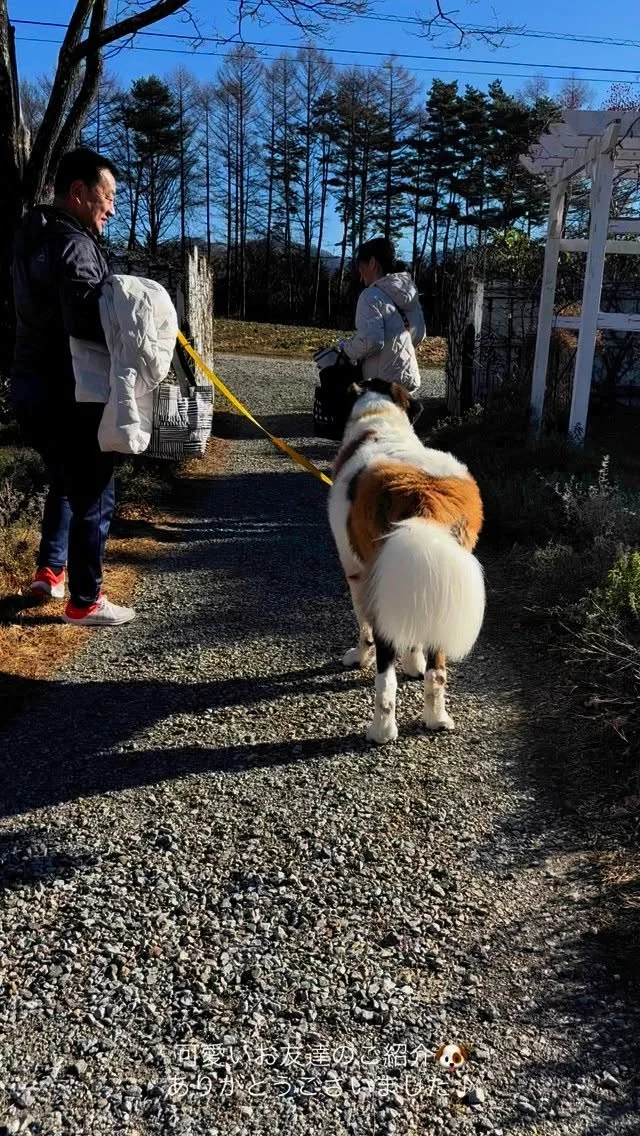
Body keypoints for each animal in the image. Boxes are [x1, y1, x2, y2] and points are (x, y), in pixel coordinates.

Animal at [329, 377, 486, 740]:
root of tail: (425, 496)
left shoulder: (357, 572)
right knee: (438, 671)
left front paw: (359, 656)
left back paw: (382, 730)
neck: (379, 421)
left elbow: (364, 626)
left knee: (385, 678)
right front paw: (415, 664)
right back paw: (436, 718)